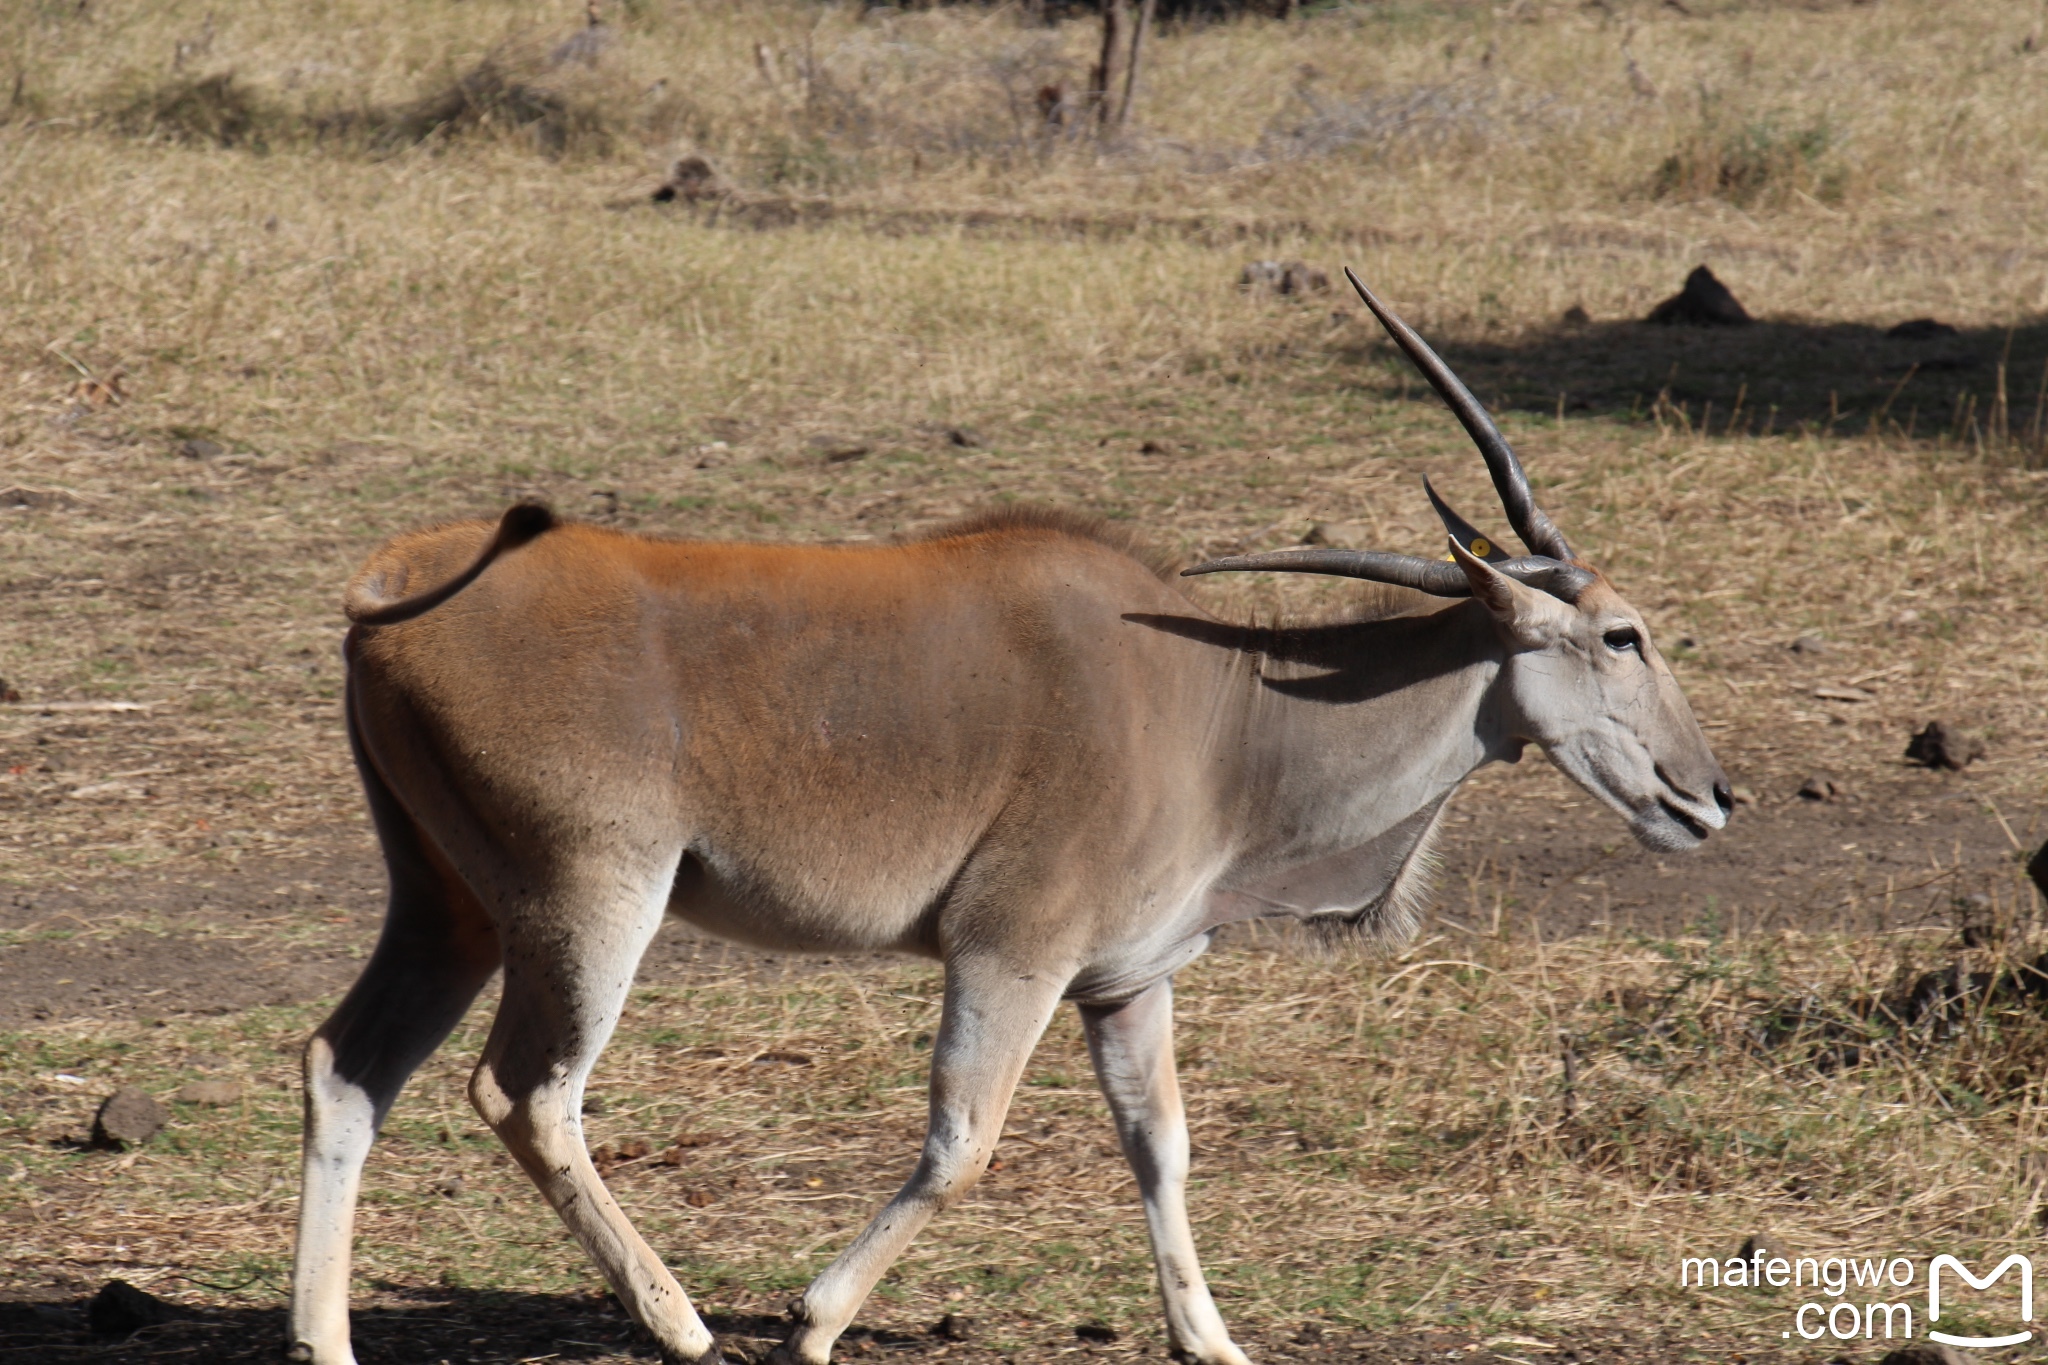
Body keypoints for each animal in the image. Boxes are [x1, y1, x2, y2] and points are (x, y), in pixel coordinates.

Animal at [288, 270, 1728, 1365]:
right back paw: (682, 1323)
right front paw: (811, 1323)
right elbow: (961, 1144)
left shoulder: (1125, 984)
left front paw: (1213, 1340)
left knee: (348, 1065)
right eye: (1622, 634)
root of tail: (395, 583)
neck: (1221, 710)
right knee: (526, 1092)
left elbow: (1162, 1148)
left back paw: (329, 1337)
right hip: (591, 900)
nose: (1710, 797)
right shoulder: (1009, 954)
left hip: (451, 909)